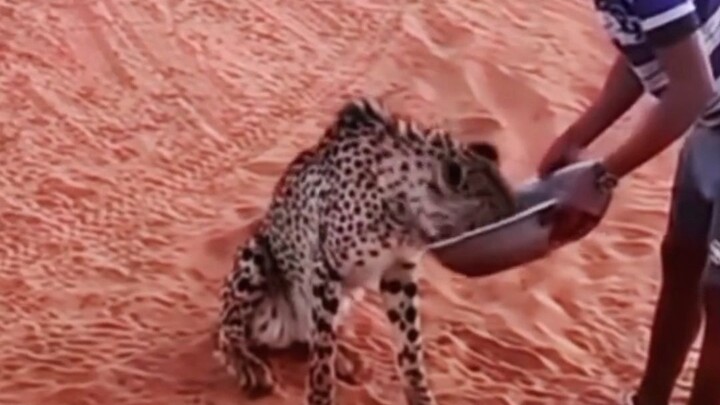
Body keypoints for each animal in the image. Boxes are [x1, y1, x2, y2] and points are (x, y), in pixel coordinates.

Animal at [213, 96, 517, 405]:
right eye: (495, 217)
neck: (402, 210)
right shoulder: (326, 269)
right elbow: (322, 349)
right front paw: (320, 396)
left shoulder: (399, 271)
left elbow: (410, 344)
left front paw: (420, 396)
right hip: (256, 255)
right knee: (230, 330)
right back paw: (245, 362)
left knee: (309, 335)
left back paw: (343, 357)